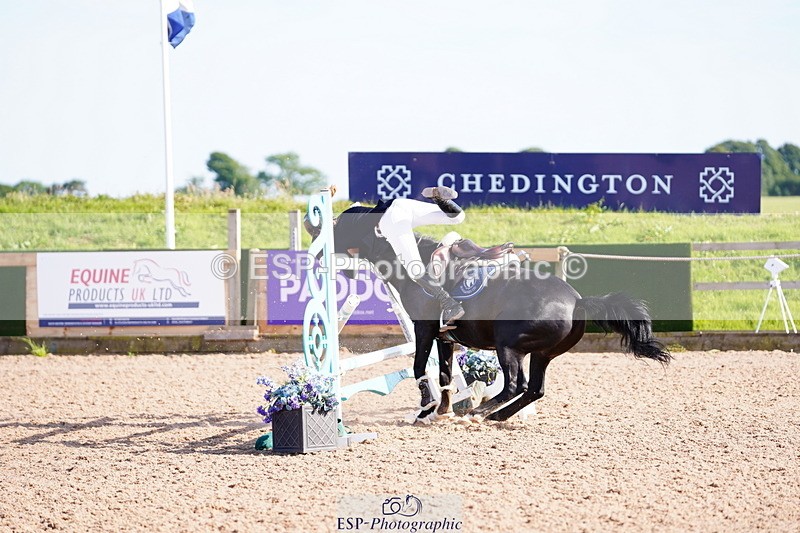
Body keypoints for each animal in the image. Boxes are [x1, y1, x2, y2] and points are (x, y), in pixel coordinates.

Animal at [332, 208, 672, 422]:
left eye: (346, 223)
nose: (323, 226)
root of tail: (577, 301)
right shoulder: (445, 337)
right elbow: (444, 375)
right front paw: (442, 411)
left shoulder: (425, 328)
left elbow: (419, 368)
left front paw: (427, 408)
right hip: (541, 353)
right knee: (534, 389)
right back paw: (495, 415)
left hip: (509, 346)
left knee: (515, 386)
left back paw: (479, 413)